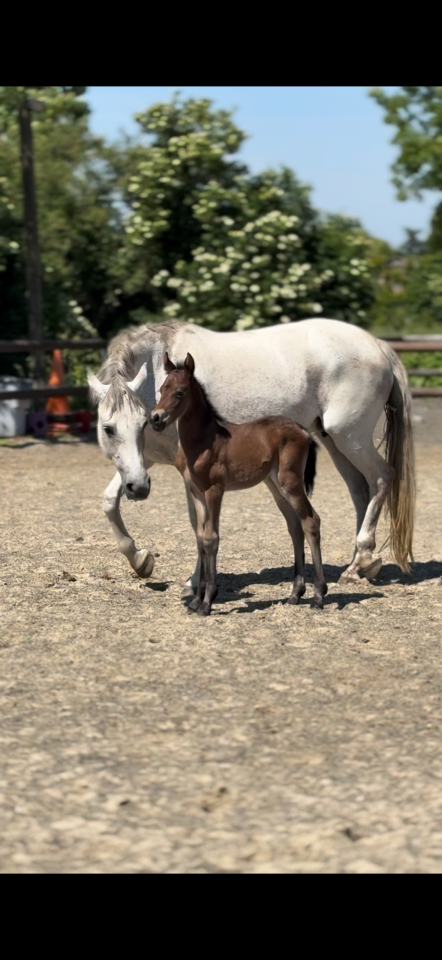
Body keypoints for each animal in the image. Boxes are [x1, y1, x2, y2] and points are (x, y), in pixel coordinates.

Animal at [88, 317, 415, 586]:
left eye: (142, 423)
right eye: (108, 428)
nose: (139, 490)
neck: (157, 367)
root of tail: (379, 347)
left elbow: (198, 522)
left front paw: (195, 581)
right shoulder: (141, 464)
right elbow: (109, 502)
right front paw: (141, 560)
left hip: (349, 437)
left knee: (381, 477)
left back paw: (363, 557)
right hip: (334, 440)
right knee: (360, 489)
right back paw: (357, 565)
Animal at [150, 352, 326, 615]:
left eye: (180, 392)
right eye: (162, 389)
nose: (155, 418)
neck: (203, 440)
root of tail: (302, 430)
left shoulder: (215, 490)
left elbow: (211, 539)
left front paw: (207, 601)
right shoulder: (196, 492)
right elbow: (201, 538)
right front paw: (195, 600)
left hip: (291, 482)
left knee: (311, 521)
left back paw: (318, 596)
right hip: (275, 486)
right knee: (295, 526)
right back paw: (295, 594)